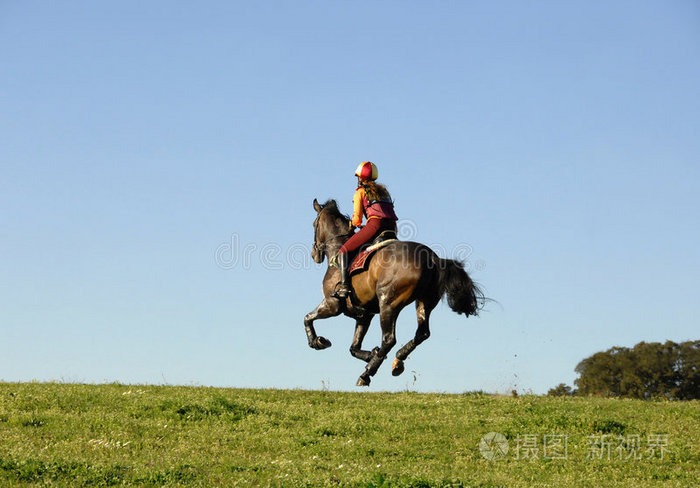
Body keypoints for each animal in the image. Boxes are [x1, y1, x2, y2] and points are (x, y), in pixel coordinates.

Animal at [306, 197, 486, 386]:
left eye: (314, 224)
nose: (314, 254)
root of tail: (432, 258)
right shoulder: (364, 316)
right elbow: (353, 347)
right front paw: (370, 354)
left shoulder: (332, 305)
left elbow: (307, 318)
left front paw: (318, 341)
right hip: (424, 301)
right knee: (422, 333)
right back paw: (397, 360)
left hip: (389, 303)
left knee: (389, 339)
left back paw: (367, 373)